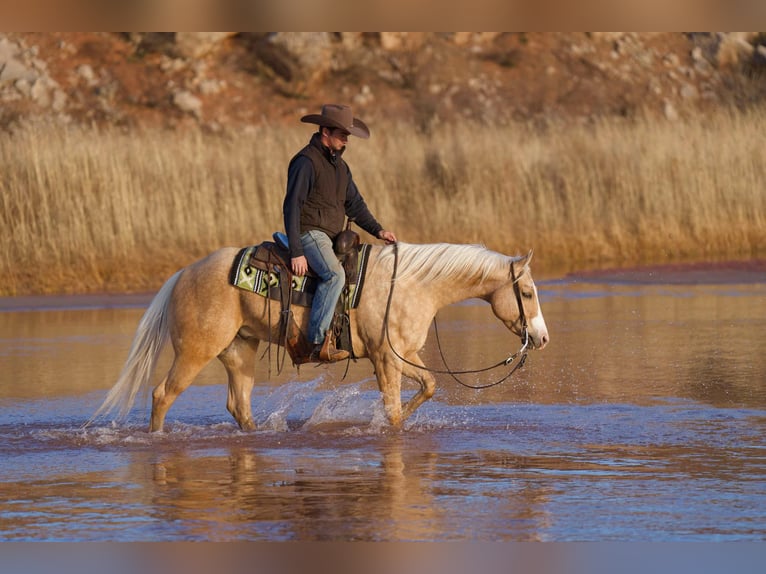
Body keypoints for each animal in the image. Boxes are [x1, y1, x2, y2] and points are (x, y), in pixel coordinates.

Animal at [87, 242, 549, 432]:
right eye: (527, 292)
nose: (541, 338)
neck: (410, 284)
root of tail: (185, 273)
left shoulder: (405, 354)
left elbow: (431, 385)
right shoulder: (386, 358)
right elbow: (394, 411)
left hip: (239, 351)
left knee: (239, 406)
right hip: (195, 352)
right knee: (162, 395)